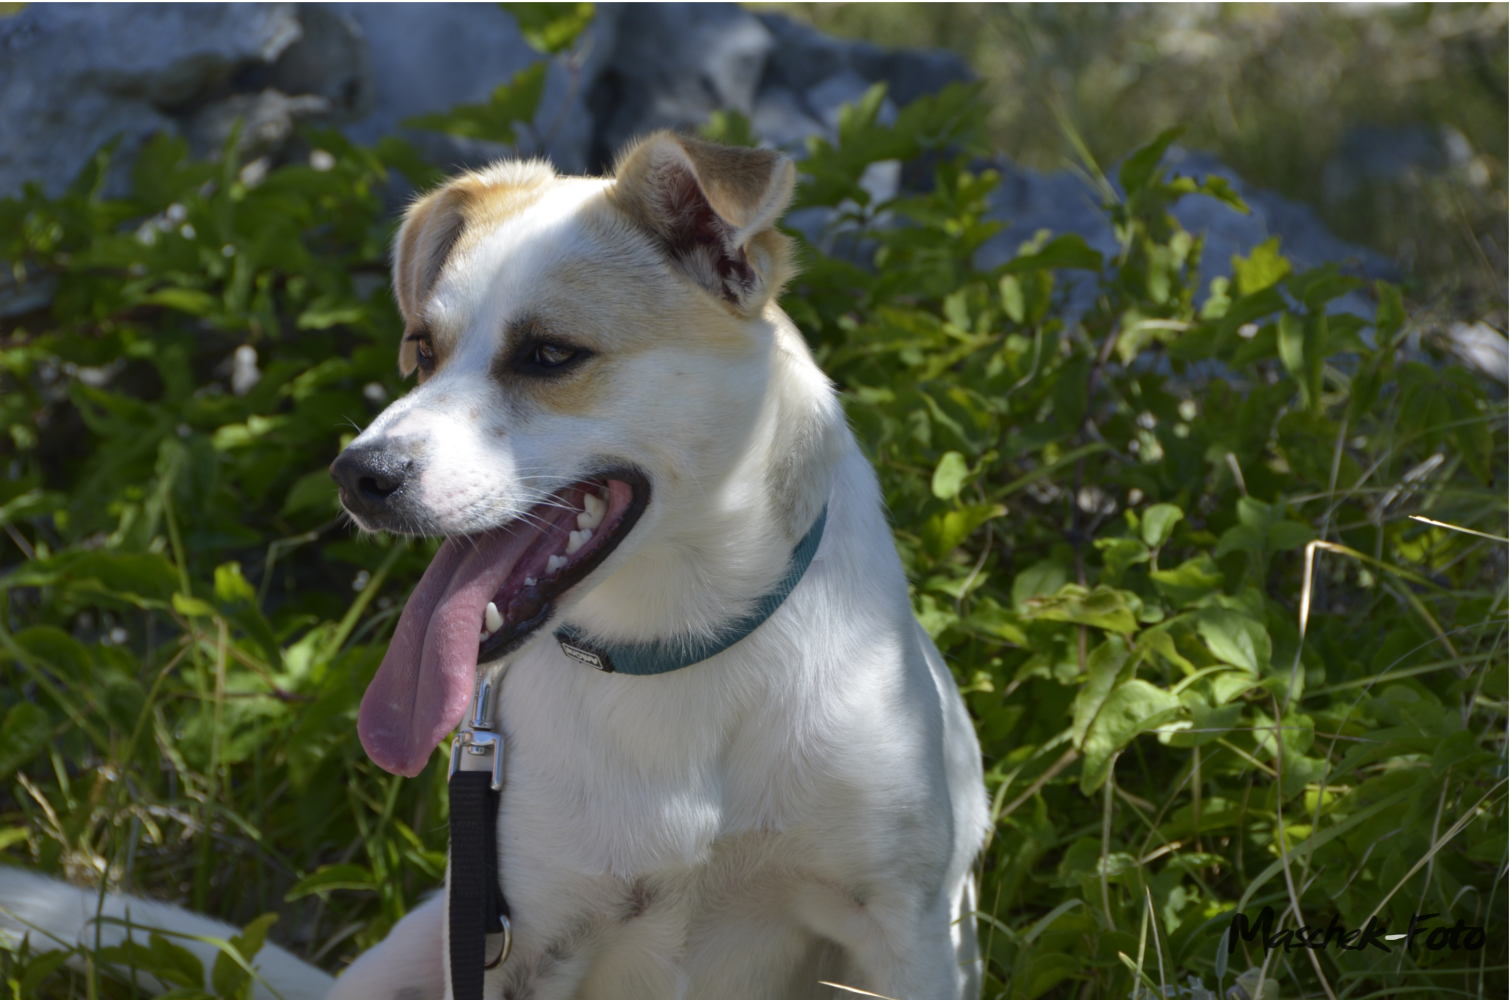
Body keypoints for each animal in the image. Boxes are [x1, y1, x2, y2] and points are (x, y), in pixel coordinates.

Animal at [0, 132, 984, 1000]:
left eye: (549, 355)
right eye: (421, 352)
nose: (358, 475)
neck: (679, 650)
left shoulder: (905, 931)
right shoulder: (523, 942)